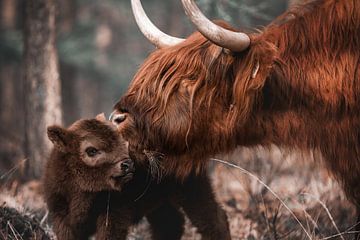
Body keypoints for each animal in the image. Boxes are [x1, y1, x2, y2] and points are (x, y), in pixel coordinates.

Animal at [43, 114, 229, 238]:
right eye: (91, 150)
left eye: (122, 141)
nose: (128, 164)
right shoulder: (62, 219)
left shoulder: (113, 216)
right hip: (159, 201)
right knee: (171, 223)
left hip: (191, 191)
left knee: (213, 219)